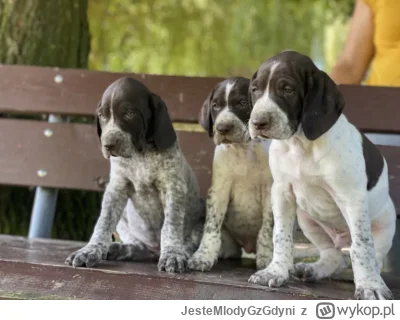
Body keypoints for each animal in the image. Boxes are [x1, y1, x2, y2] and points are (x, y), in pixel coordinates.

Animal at [188, 76, 276, 272]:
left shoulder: (270, 192)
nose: (223, 128)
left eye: (242, 103)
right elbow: (211, 227)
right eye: (215, 106)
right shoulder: (218, 191)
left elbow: (267, 229)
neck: (242, 149)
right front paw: (203, 256)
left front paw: (267, 259)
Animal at [248, 50, 396, 300]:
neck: (301, 144)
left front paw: (370, 287)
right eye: (255, 90)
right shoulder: (281, 193)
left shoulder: (351, 198)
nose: (258, 123)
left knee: (366, 254)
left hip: (386, 223)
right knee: (333, 255)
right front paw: (275, 271)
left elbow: (362, 247)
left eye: (288, 89)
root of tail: (342, 238)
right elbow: (281, 236)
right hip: (307, 220)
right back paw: (313, 270)